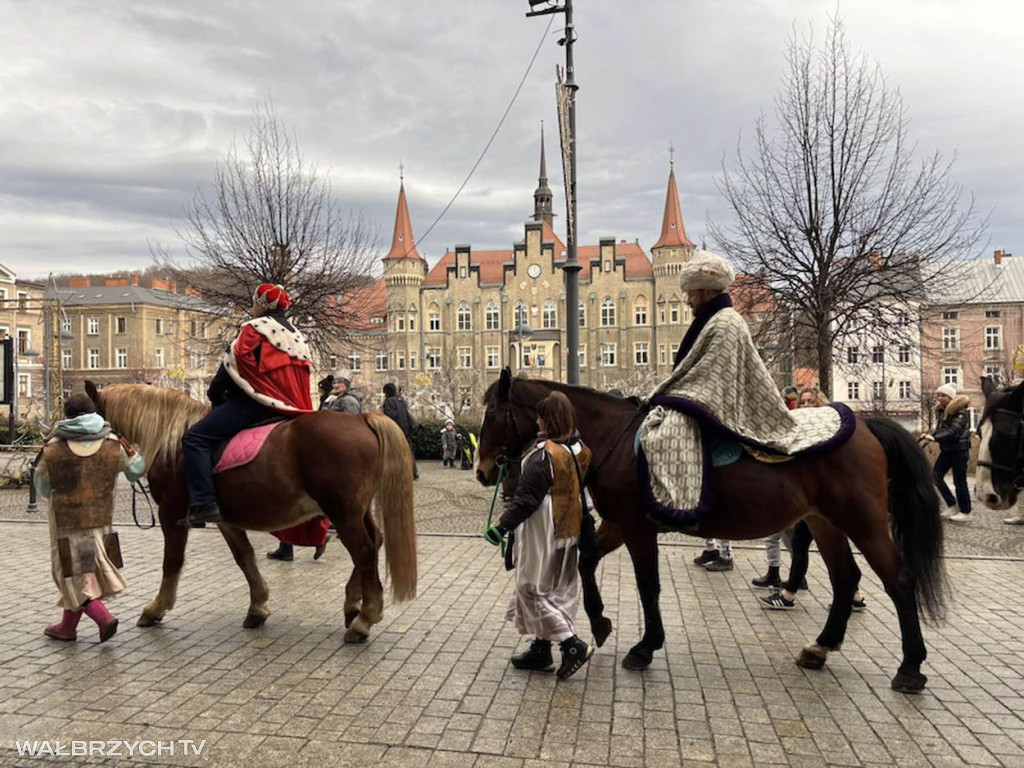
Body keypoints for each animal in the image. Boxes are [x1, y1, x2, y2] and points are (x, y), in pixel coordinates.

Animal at [84, 382, 415, 643]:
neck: (173, 440)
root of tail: (363, 419)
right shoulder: (224, 519)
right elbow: (244, 557)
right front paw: (258, 607)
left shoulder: (171, 513)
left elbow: (172, 562)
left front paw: (156, 608)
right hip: (357, 510)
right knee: (374, 543)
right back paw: (353, 605)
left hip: (342, 512)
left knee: (364, 550)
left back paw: (364, 619)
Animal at [475, 370, 946, 696]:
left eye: (493, 415)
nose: (482, 471)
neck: (614, 439)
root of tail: (866, 425)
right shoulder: (617, 524)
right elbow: (588, 561)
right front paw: (601, 621)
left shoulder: (637, 528)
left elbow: (648, 585)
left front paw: (645, 645)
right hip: (824, 522)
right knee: (846, 578)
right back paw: (820, 647)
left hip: (862, 522)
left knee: (897, 580)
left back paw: (910, 667)